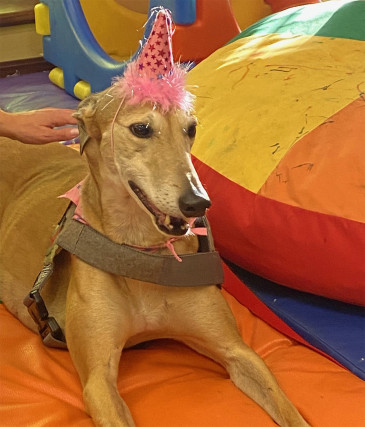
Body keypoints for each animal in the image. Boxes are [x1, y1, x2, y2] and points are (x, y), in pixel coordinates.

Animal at [0, 86, 310, 424]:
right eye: (141, 128)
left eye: (191, 128)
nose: (198, 203)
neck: (142, 252)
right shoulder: (98, 381)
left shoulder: (239, 351)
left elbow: (289, 411)